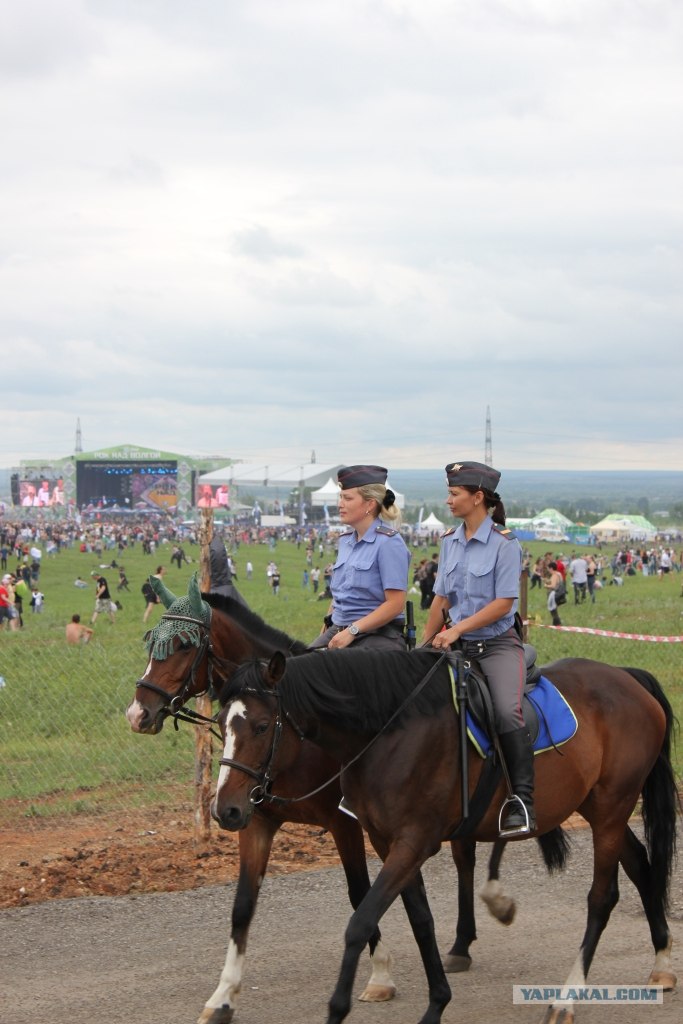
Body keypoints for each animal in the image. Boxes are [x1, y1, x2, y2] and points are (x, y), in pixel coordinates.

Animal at [126, 575, 562, 1021]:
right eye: (152, 642)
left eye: (182, 645)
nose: (138, 714)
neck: (301, 733)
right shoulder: (258, 818)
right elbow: (243, 906)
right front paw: (222, 996)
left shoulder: (345, 822)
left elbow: (358, 893)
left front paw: (380, 975)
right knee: (470, 850)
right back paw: (463, 941)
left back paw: (492, 900)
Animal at [213, 648, 679, 1024]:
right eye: (221, 722)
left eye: (260, 726)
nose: (226, 810)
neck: (389, 732)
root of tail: (627, 678)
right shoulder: (387, 841)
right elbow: (421, 919)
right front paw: (437, 1003)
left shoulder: (413, 841)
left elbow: (360, 922)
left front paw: (338, 1008)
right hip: (599, 808)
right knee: (641, 864)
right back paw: (662, 962)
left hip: (612, 808)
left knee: (602, 898)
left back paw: (566, 998)